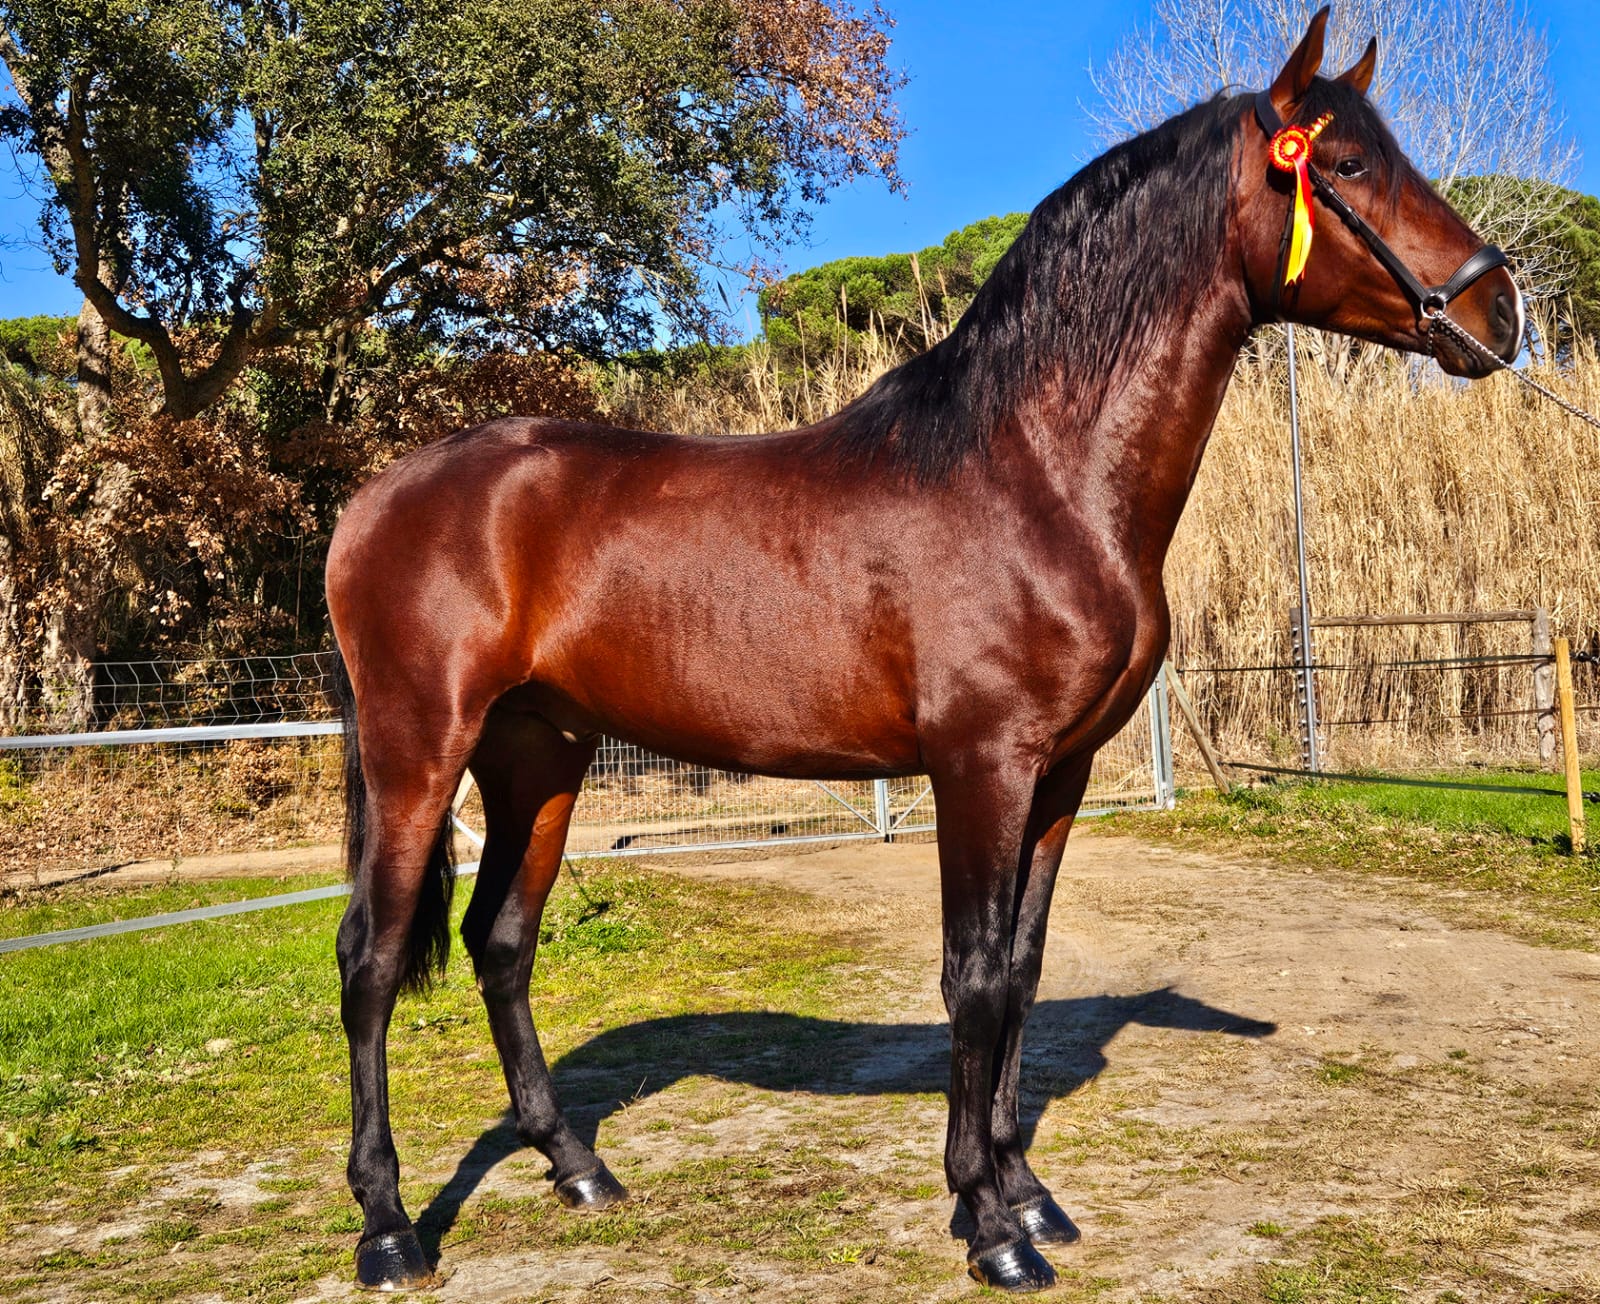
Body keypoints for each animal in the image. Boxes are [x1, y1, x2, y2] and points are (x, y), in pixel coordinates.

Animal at [325, 8, 1521, 1292]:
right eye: (1342, 164)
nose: (1500, 314)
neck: (1034, 474)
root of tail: (375, 497)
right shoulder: (978, 765)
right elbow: (975, 976)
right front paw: (990, 1223)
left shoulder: (1059, 772)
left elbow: (1024, 969)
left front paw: (1025, 1192)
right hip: (420, 751)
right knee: (372, 959)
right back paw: (388, 1227)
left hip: (539, 755)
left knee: (500, 941)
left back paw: (578, 1168)